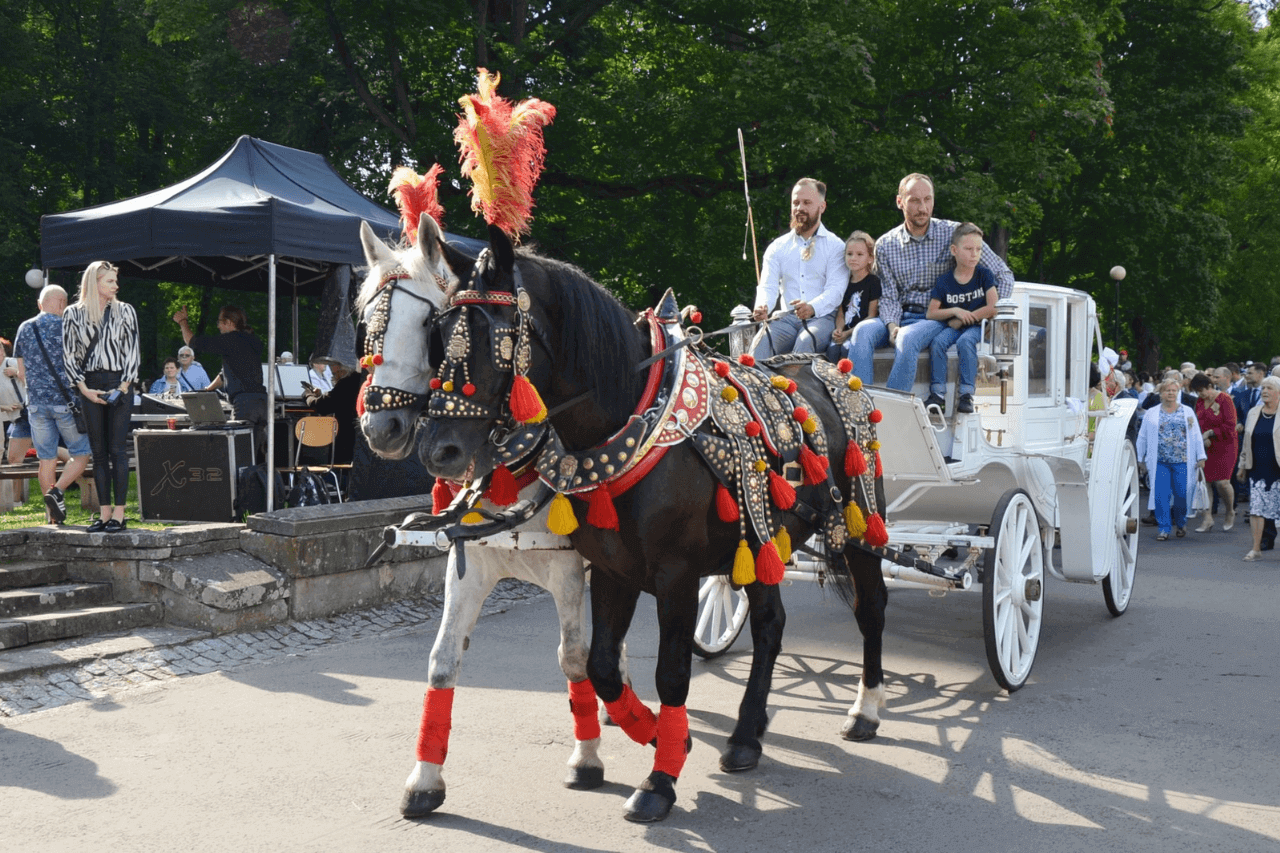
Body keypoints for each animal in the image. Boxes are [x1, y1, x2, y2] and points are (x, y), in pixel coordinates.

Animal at [355, 213, 614, 819]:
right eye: (367, 327)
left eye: (430, 326)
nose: (380, 429)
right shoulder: (469, 564)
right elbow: (442, 659)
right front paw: (425, 779)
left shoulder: (569, 569)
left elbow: (573, 656)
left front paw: (587, 756)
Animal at [419, 224, 890, 819]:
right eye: (439, 334)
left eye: (493, 336)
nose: (439, 451)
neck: (633, 422)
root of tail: (832, 367)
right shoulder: (611, 569)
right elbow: (600, 665)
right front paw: (660, 737)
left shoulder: (677, 576)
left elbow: (672, 673)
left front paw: (660, 779)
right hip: (766, 540)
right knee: (769, 625)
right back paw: (746, 736)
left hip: (860, 527)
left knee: (871, 608)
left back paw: (865, 710)